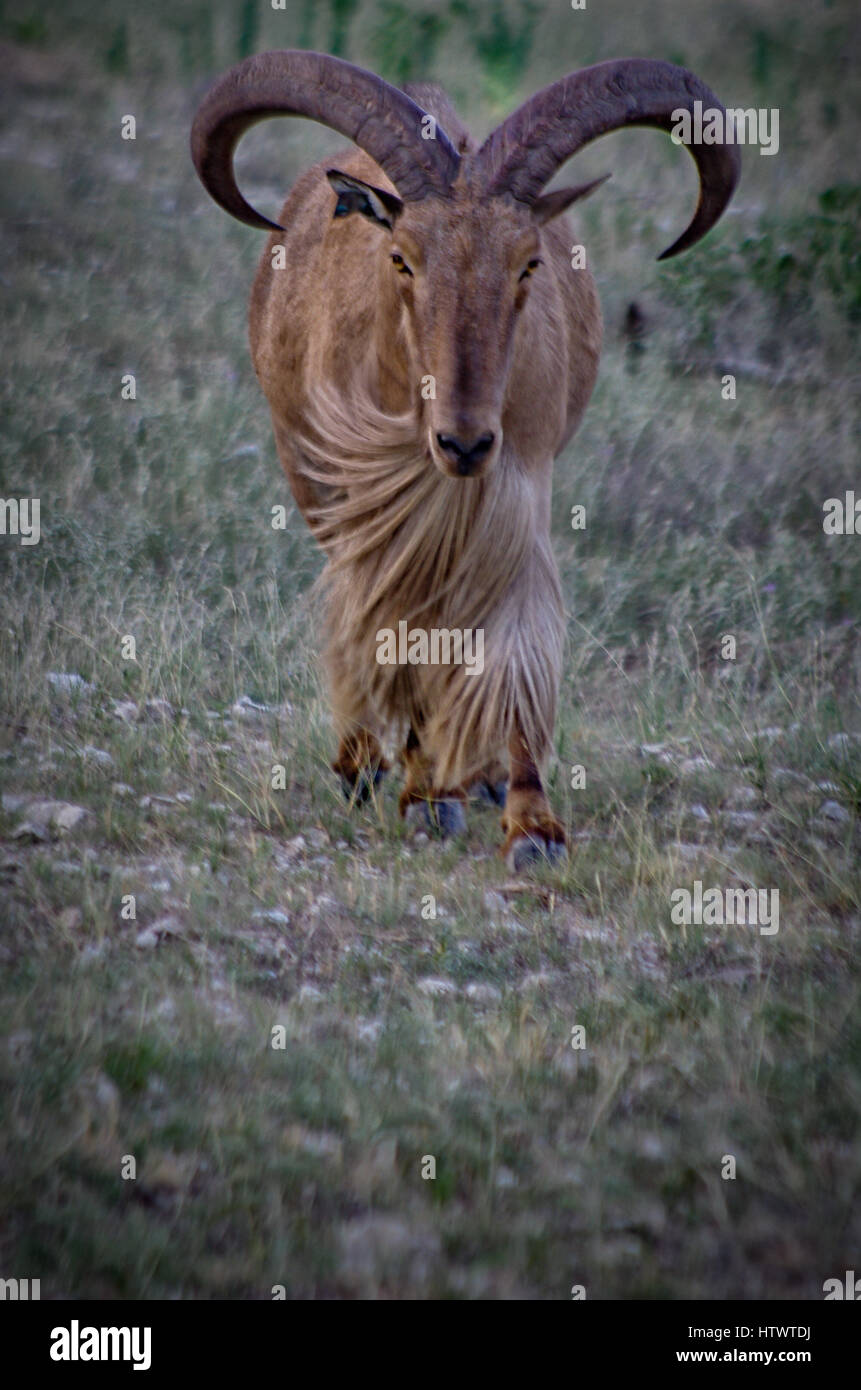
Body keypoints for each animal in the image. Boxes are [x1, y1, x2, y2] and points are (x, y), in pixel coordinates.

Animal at [191, 50, 740, 870]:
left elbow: (510, 641)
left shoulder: (515, 491)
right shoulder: (378, 507)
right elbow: (396, 625)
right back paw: (366, 763)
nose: (465, 441)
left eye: (528, 264)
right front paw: (425, 794)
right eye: (402, 258)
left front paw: (531, 823)